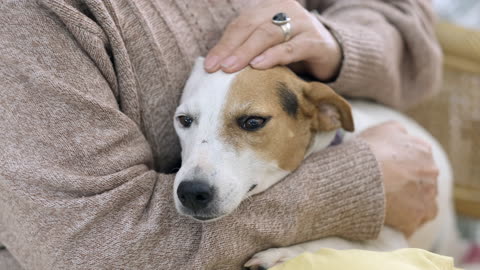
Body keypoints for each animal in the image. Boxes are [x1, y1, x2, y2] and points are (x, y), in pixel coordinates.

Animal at [172, 57, 462, 268]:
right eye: (184, 120)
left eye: (253, 122)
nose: (191, 192)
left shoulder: (392, 243)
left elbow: (333, 242)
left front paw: (282, 254)